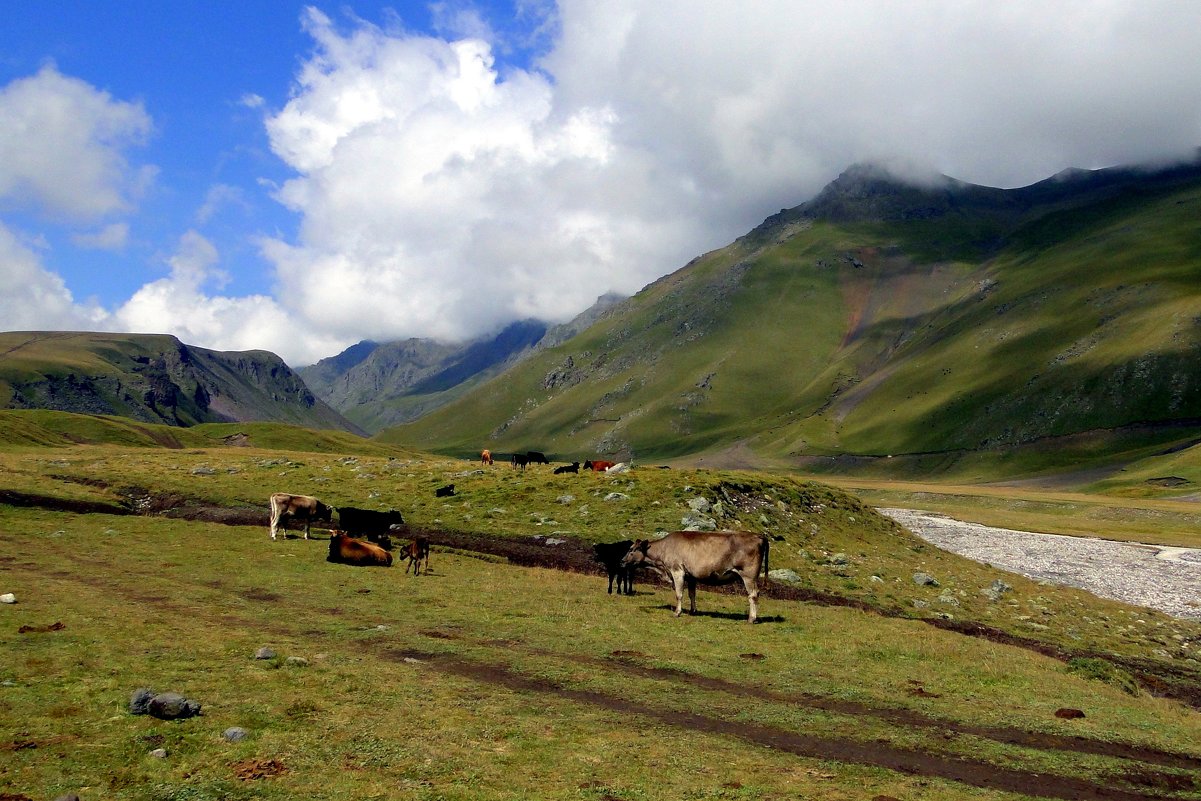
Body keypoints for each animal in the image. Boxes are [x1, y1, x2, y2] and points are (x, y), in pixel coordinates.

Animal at [619, 533, 768, 624]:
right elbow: (692, 594)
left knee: (753, 595)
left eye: (631, 550)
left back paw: (751, 618)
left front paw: (677, 612)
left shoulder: (677, 571)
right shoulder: (691, 576)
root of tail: (758, 536)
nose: (621, 561)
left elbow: (679, 594)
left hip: (748, 575)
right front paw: (693, 611)